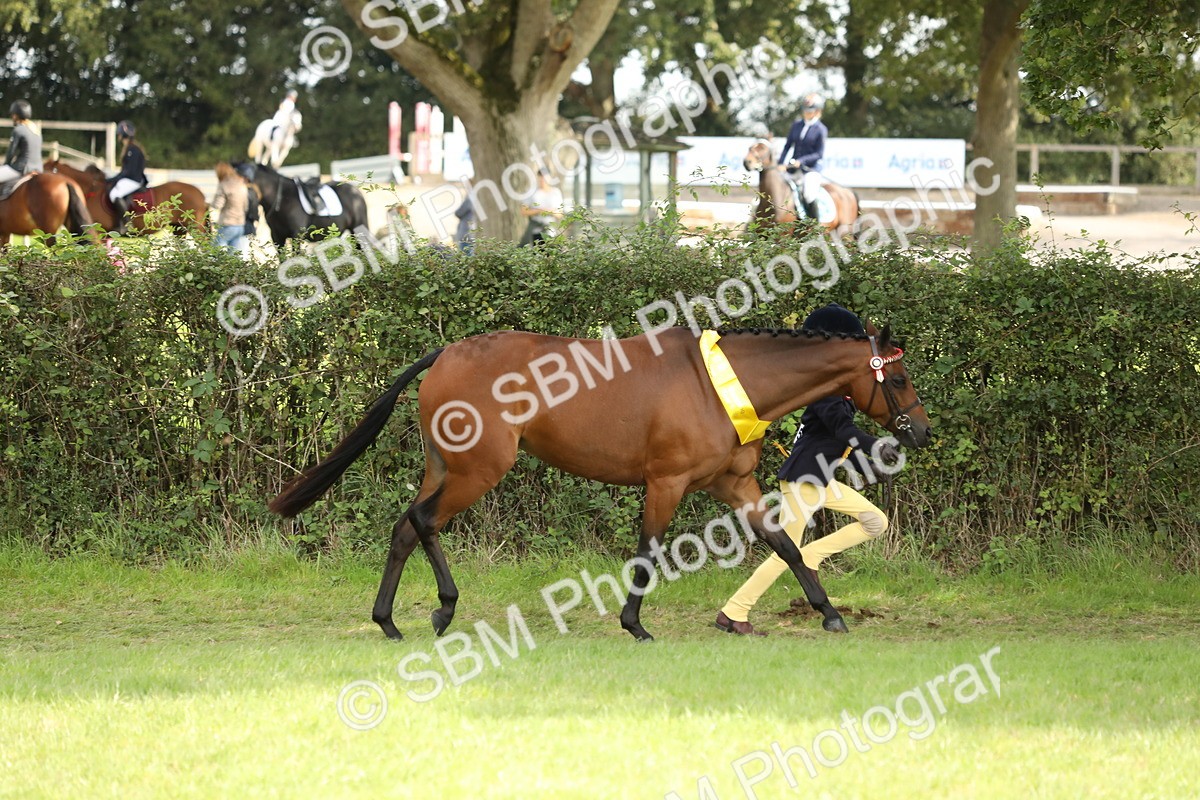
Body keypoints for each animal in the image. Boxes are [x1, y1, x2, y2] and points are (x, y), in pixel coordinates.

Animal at [43, 160, 208, 237]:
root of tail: (200, 194)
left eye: (49, 171)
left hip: (195, 228)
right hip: (179, 229)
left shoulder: (100, 231)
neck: (90, 191)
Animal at [269, 323, 931, 641]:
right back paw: (441, 609)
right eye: (898, 380)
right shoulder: (666, 482)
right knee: (426, 522)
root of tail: (446, 355)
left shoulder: (731, 487)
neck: (724, 382)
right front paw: (634, 623)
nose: (921, 432)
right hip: (479, 471)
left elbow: (786, 546)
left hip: (445, 466)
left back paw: (389, 620)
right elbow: (648, 551)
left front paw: (829, 614)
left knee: (405, 528)